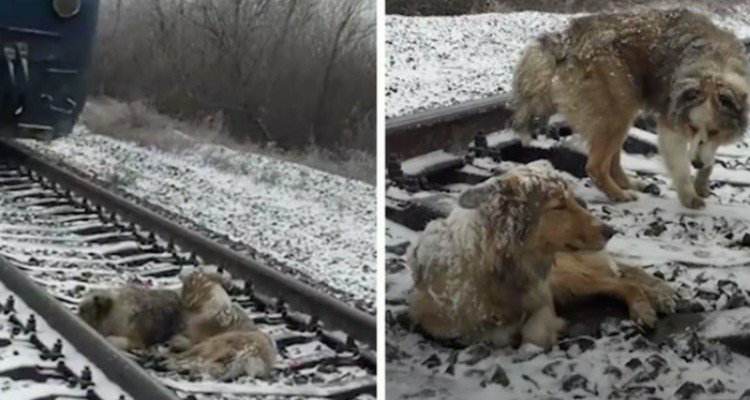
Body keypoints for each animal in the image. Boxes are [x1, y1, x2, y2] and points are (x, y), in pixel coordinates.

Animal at [408, 162, 680, 346]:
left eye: (573, 200)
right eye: (558, 206)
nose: (611, 231)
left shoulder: (543, 300)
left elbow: (534, 336)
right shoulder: (441, 325)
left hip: (567, 278)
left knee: (625, 282)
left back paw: (645, 309)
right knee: (623, 279)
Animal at [516, 8, 750, 209]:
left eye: (715, 131)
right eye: (691, 128)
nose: (697, 163)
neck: (715, 66)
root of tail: (565, 39)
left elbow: (709, 155)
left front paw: (701, 182)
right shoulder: (671, 123)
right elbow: (680, 166)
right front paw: (689, 196)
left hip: (621, 110)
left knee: (612, 161)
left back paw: (632, 185)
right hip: (618, 110)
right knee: (595, 166)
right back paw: (619, 194)